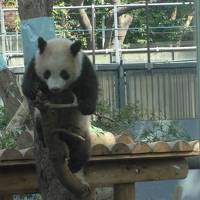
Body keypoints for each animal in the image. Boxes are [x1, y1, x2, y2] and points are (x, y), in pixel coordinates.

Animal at [21, 37, 98, 173]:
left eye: (64, 74)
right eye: (47, 73)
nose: (55, 89)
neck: (59, 42)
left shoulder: (83, 66)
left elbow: (90, 85)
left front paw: (86, 106)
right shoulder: (35, 62)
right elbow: (28, 80)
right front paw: (33, 90)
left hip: (78, 127)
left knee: (81, 146)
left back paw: (74, 165)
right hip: (41, 119)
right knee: (39, 126)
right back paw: (46, 140)